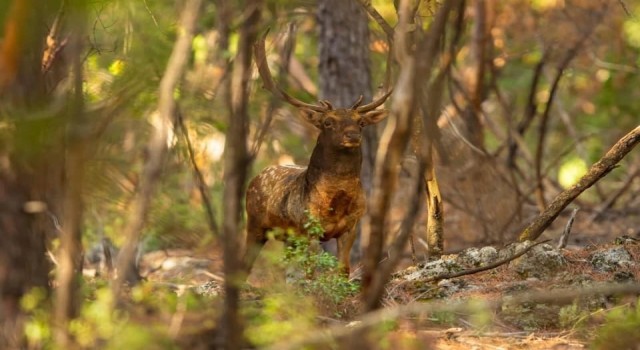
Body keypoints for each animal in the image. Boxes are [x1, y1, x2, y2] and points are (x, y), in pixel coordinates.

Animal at [245, 34, 392, 278]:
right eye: (328, 122)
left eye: (361, 122)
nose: (353, 135)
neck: (337, 200)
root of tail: (256, 176)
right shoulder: (308, 227)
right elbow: (313, 272)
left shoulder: (351, 226)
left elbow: (343, 269)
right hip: (255, 223)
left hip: (288, 239)